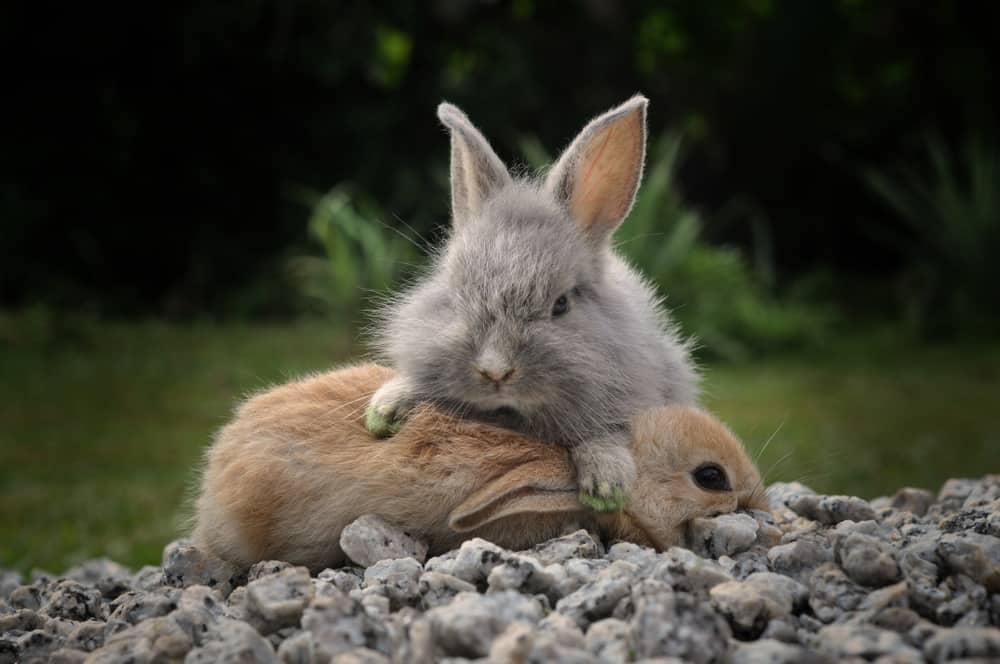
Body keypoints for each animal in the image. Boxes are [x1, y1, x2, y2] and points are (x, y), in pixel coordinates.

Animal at [364, 93, 700, 510]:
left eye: (561, 305)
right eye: (457, 297)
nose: (495, 371)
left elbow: (607, 436)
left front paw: (607, 487)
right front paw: (384, 409)